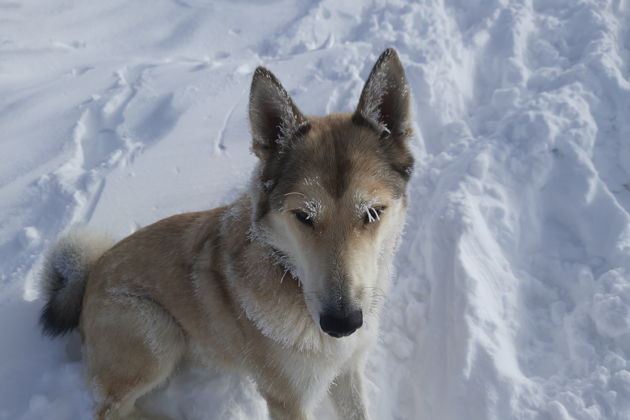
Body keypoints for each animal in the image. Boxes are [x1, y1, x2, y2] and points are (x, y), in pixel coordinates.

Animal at [39, 48, 414, 420]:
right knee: (110, 409)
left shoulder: (349, 370)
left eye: (372, 213)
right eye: (303, 216)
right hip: (155, 331)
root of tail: (90, 274)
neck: (289, 277)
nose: (343, 322)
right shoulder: (287, 399)